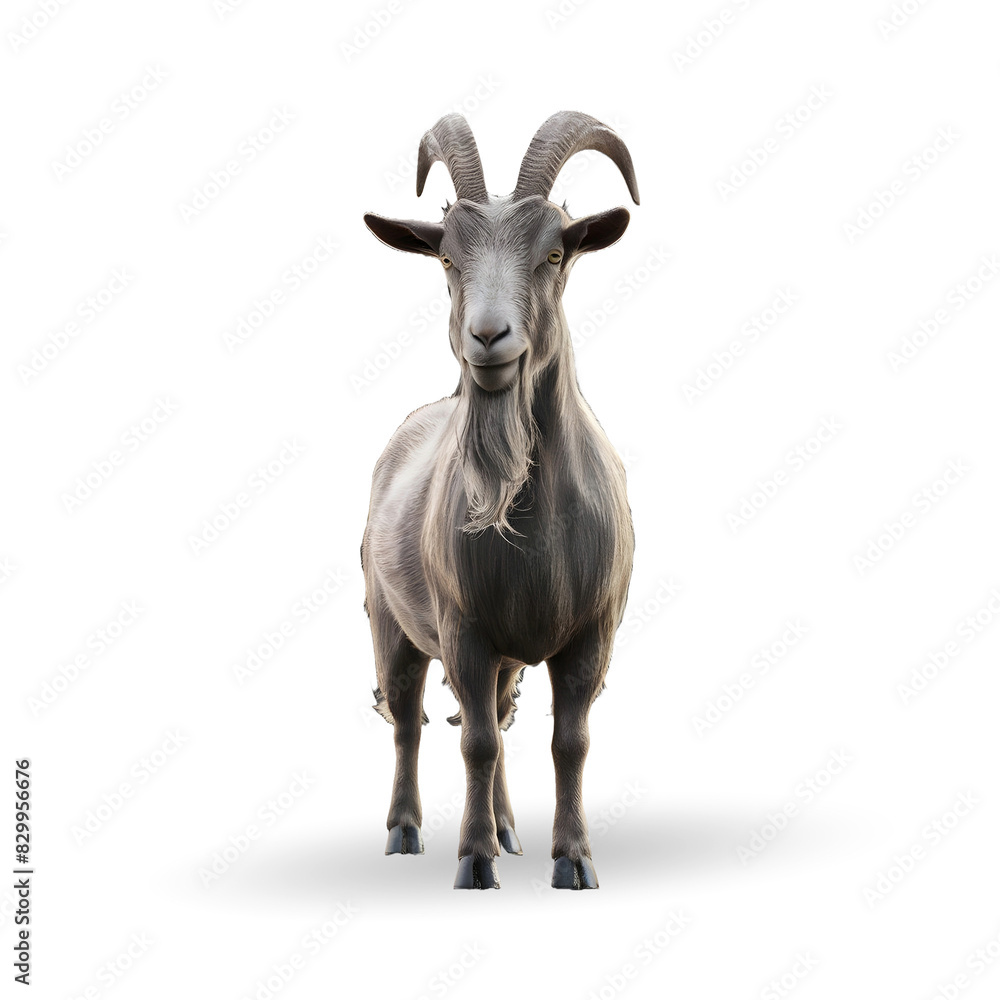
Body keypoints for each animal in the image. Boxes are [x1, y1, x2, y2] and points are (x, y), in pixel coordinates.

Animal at [362, 111, 638, 889]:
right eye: (447, 259)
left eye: (556, 253)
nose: (488, 336)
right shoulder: (465, 630)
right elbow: (477, 742)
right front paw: (473, 862)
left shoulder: (592, 634)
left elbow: (569, 741)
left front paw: (572, 860)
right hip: (389, 620)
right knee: (408, 719)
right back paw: (406, 831)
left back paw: (511, 827)